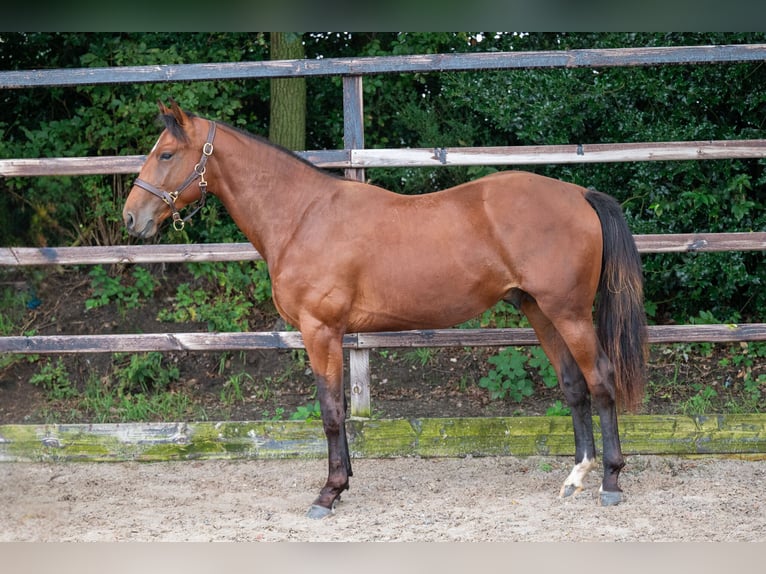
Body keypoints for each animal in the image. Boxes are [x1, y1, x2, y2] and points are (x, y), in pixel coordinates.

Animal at [124, 101, 648, 520]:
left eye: (166, 154)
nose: (132, 217)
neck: (302, 215)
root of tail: (578, 194)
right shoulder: (331, 335)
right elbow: (335, 407)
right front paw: (343, 482)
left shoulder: (320, 331)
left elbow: (331, 411)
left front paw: (328, 493)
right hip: (541, 311)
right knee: (574, 386)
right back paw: (576, 476)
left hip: (570, 313)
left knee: (601, 381)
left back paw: (611, 481)